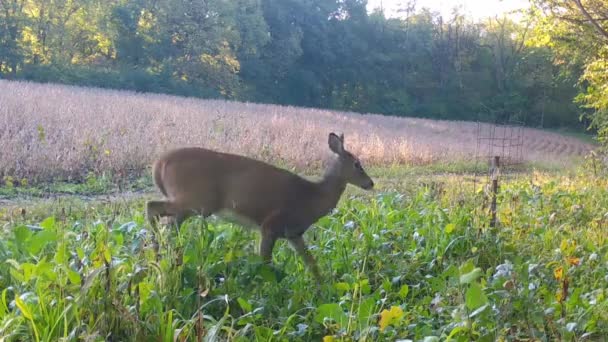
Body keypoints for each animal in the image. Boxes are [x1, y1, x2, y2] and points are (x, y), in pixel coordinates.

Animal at [147, 132, 376, 282]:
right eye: (357, 164)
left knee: (168, 224)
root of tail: (159, 164)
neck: (311, 198)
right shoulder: (271, 225)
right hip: (196, 201)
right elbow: (266, 263)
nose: (371, 183)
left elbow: (312, 263)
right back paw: (157, 256)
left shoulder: (293, 233)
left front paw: (325, 286)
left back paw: (165, 258)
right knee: (152, 207)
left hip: (189, 205)